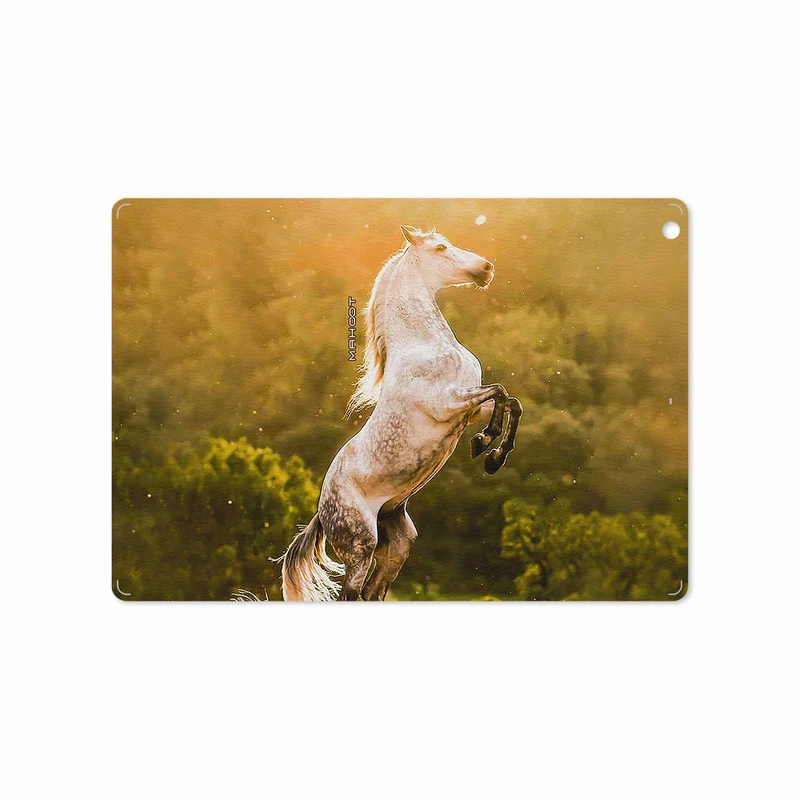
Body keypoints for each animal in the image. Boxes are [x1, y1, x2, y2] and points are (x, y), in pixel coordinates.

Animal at [278, 225, 522, 601]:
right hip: (361, 546)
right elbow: (500, 391)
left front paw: (493, 455)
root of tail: (321, 511)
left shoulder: (469, 409)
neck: (424, 344)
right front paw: (485, 445)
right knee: (351, 593)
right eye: (441, 248)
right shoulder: (448, 404)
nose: (486, 268)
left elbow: (511, 401)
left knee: (372, 594)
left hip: (398, 544)